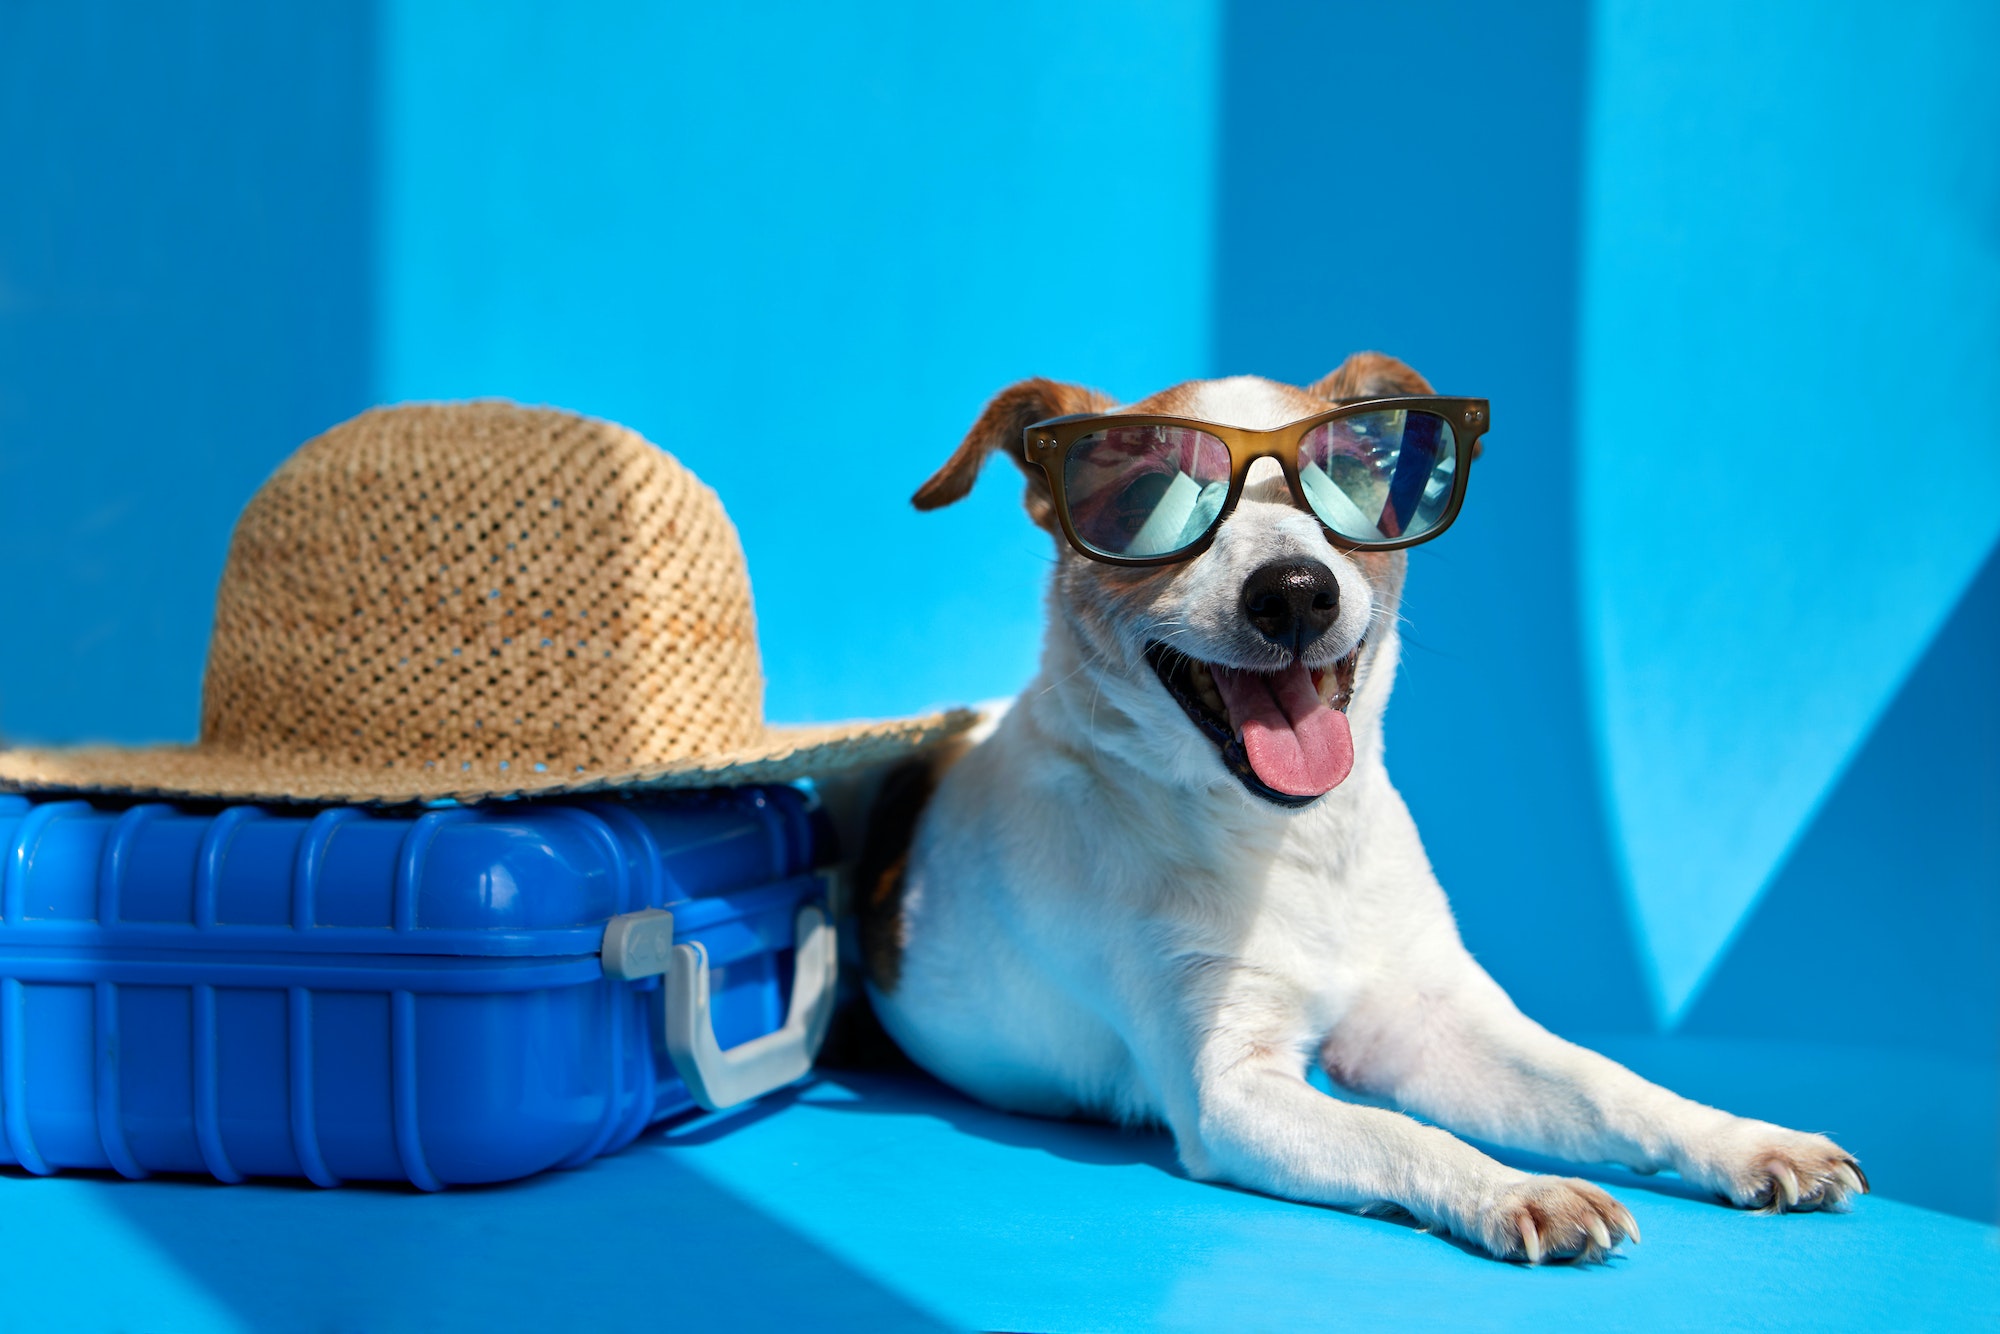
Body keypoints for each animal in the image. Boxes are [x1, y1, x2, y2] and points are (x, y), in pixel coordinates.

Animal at [864, 352, 1872, 1264]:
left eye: (1349, 482)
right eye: (1148, 496)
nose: (1294, 591)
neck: (1290, 842)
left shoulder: (1428, 1025)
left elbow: (1604, 1083)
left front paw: (1741, 1138)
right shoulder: (1230, 1090)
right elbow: (1402, 1133)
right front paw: (1518, 1188)